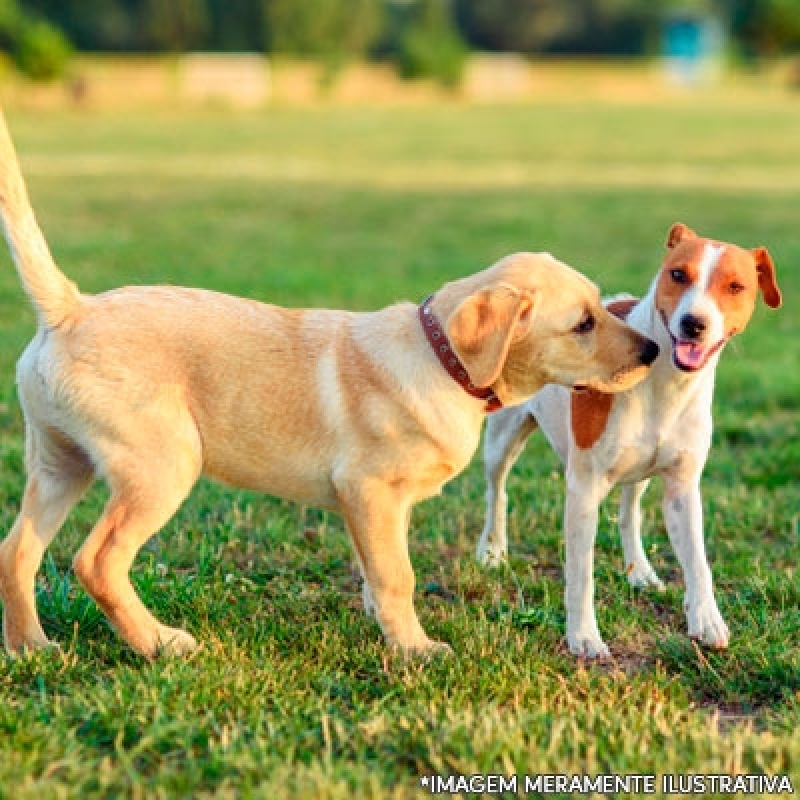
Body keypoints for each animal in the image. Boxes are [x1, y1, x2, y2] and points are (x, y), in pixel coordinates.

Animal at [0, 114, 660, 664]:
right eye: (583, 324)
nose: (653, 352)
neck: (439, 357)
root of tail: (69, 309)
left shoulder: (369, 504)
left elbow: (376, 568)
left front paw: (385, 627)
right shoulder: (370, 489)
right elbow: (397, 575)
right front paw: (415, 649)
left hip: (60, 464)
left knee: (17, 551)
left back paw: (33, 647)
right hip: (162, 463)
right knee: (96, 561)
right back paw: (159, 643)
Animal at [476, 223, 780, 656]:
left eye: (736, 286)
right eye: (677, 274)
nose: (694, 322)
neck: (665, 384)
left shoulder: (683, 488)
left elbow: (698, 561)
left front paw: (706, 619)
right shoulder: (584, 489)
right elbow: (580, 574)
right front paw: (584, 635)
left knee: (629, 511)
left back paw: (640, 571)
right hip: (502, 438)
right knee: (496, 491)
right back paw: (492, 551)